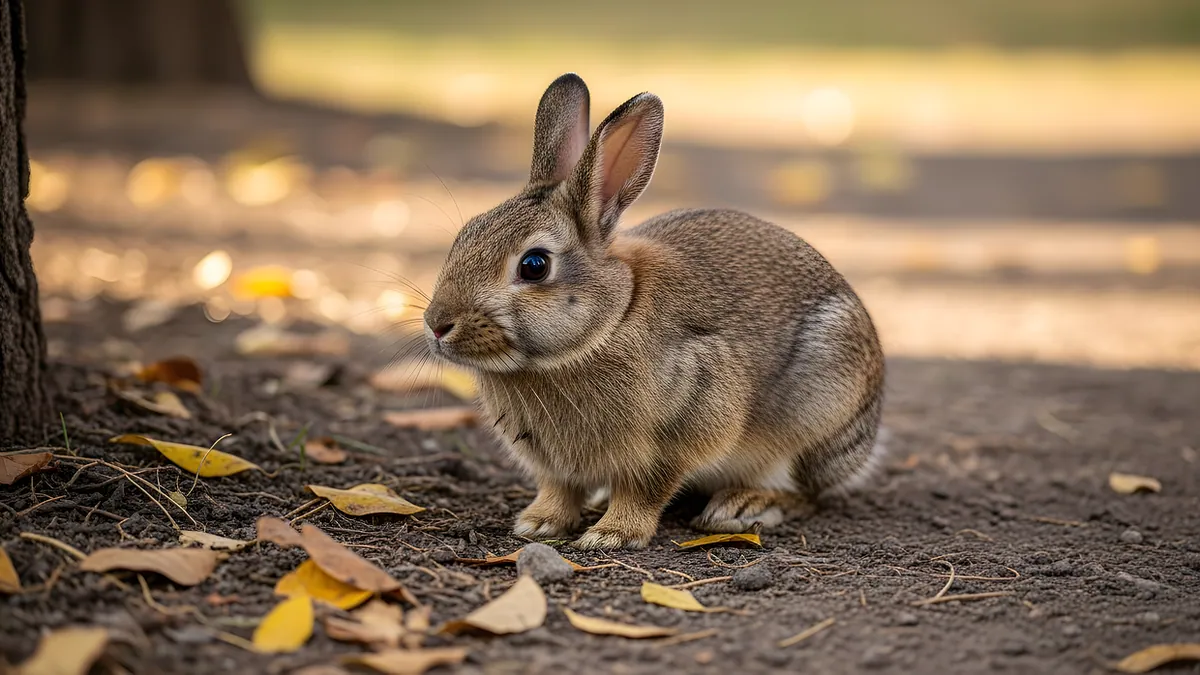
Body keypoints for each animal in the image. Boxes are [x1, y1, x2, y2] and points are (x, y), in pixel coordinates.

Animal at [423, 73, 885, 550]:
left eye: (534, 265)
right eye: (466, 233)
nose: (437, 325)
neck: (608, 322)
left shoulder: (681, 429)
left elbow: (645, 489)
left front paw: (611, 535)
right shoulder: (554, 466)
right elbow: (558, 488)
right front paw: (539, 523)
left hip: (817, 413)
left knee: (808, 492)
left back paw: (744, 506)